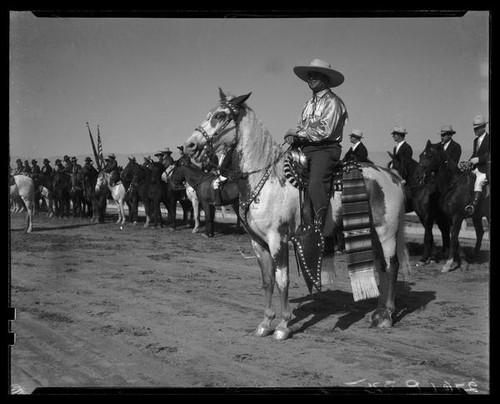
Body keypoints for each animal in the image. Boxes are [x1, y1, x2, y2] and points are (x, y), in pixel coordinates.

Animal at [184, 89, 410, 340]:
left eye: (220, 115)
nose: (190, 145)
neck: (266, 179)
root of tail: (392, 176)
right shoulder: (257, 242)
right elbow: (267, 280)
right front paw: (265, 323)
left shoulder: (278, 238)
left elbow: (282, 279)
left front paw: (283, 326)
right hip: (373, 232)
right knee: (381, 267)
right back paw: (378, 312)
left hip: (387, 232)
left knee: (391, 266)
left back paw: (387, 315)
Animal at [418, 140, 488, 274]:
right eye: (420, 155)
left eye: (430, 155)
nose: (420, 177)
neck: (453, 184)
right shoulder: (449, 218)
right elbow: (453, 237)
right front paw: (462, 262)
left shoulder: (457, 216)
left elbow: (454, 236)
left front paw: (448, 264)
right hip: (476, 217)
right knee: (480, 232)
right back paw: (474, 256)